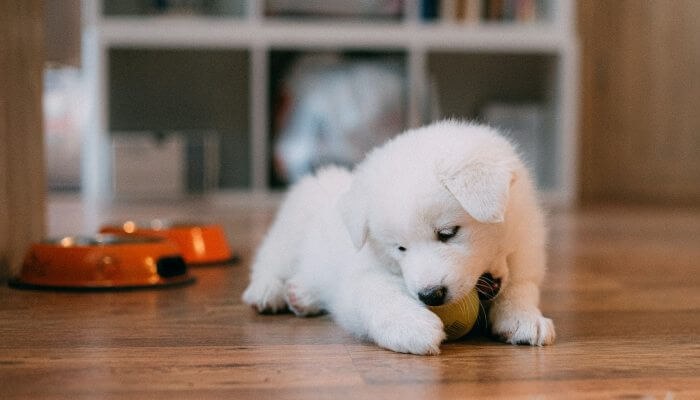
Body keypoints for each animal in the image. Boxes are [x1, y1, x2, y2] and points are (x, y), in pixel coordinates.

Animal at [243, 120, 556, 354]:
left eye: (447, 233)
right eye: (400, 248)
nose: (430, 295)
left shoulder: (527, 257)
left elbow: (520, 289)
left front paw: (525, 318)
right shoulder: (360, 276)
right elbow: (377, 293)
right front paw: (411, 327)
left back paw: (303, 295)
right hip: (291, 231)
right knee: (269, 260)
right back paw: (269, 291)